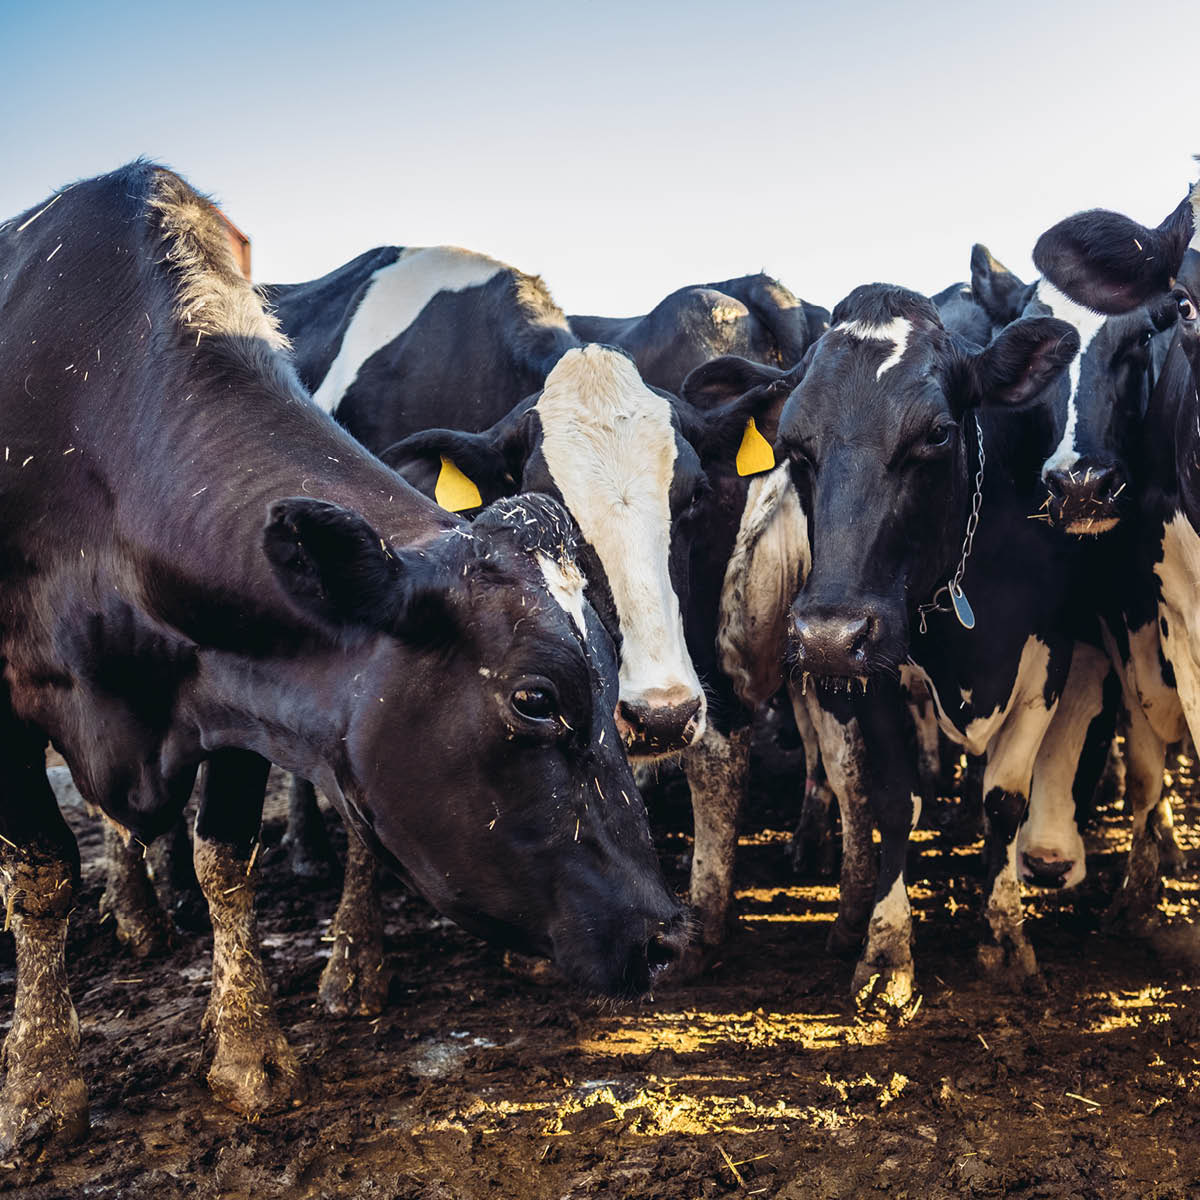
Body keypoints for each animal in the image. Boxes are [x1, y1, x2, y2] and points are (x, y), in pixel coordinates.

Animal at [0, 163, 687, 1157]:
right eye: (535, 698)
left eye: (691, 496)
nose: (669, 938)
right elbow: (43, 874)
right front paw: (41, 1084)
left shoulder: (238, 678)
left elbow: (226, 854)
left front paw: (250, 1049)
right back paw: (135, 914)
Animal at [683, 285, 1081, 1007]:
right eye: (793, 446)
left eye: (937, 433)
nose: (826, 634)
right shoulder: (870, 669)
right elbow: (893, 799)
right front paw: (886, 949)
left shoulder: (1050, 656)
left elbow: (1005, 801)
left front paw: (1006, 936)